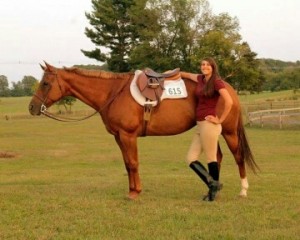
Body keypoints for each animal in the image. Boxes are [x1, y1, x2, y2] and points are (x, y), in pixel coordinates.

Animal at [28, 62, 258, 199]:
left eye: (46, 83)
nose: (31, 107)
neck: (112, 92)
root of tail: (228, 88)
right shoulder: (119, 137)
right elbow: (127, 164)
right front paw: (132, 189)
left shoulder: (128, 135)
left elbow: (133, 163)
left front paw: (135, 193)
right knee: (216, 157)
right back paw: (212, 190)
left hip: (228, 132)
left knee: (237, 157)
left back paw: (243, 190)